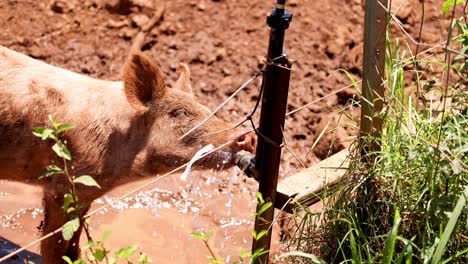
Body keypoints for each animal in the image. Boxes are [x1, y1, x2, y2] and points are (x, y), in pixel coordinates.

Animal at [0, 46, 256, 264]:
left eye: (206, 108)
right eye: (179, 113)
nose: (247, 136)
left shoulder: (85, 193)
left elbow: (74, 246)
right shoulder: (63, 186)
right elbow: (56, 248)